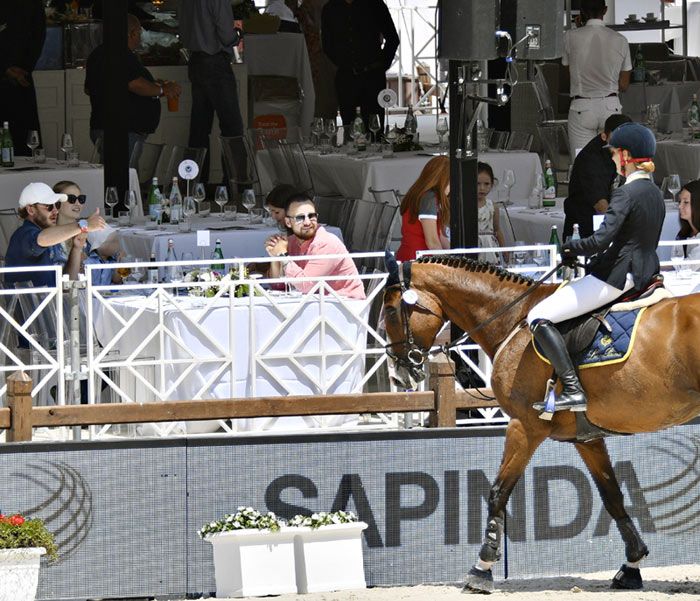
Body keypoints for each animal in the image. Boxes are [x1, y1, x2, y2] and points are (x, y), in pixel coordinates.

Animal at [382, 252, 700, 592]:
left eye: (390, 310)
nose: (399, 376)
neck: (513, 317)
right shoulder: (587, 438)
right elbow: (612, 496)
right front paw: (632, 565)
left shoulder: (524, 426)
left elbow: (498, 493)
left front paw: (482, 568)